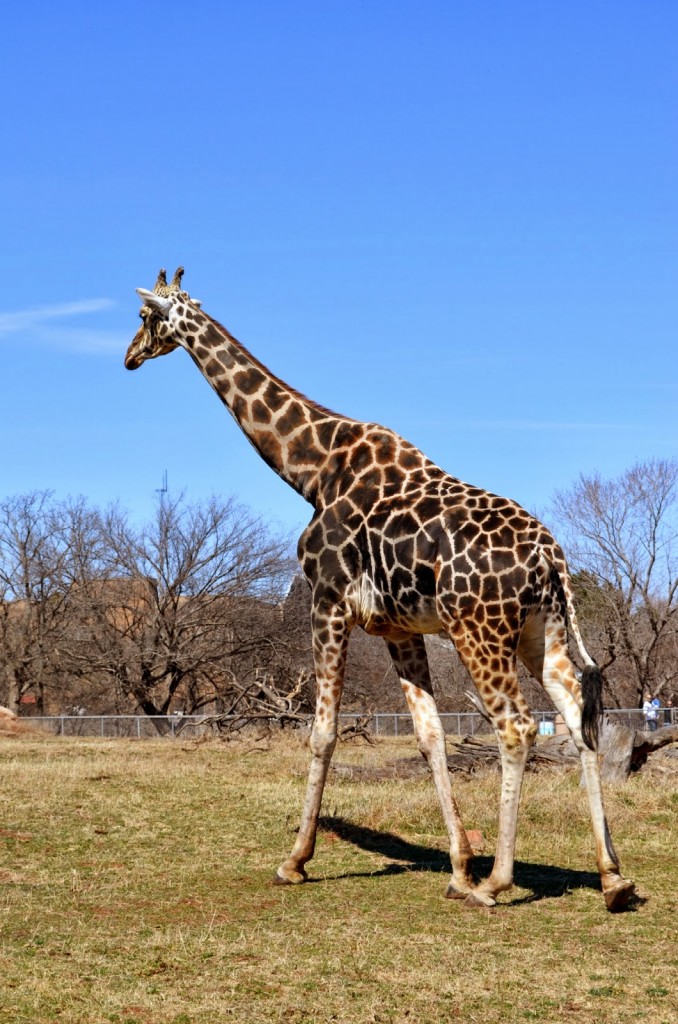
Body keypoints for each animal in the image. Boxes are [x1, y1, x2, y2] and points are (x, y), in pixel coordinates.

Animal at [125, 267, 635, 912]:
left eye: (144, 318)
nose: (129, 357)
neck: (312, 470)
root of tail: (552, 559)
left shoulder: (327, 602)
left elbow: (322, 732)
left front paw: (295, 861)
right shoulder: (399, 628)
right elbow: (430, 737)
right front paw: (458, 867)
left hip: (480, 630)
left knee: (516, 726)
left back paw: (498, 883)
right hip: (540, 632)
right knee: (576, 719)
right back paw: (612, 877)